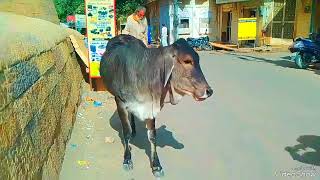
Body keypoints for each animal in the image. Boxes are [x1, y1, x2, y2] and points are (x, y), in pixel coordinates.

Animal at [100, 34, 212, 177]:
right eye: (187, 61)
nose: (209, 91)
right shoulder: (120, 102)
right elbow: (126, 133)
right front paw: (127, 159)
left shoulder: (151, 106)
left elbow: (152, 136)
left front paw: (156, 166)